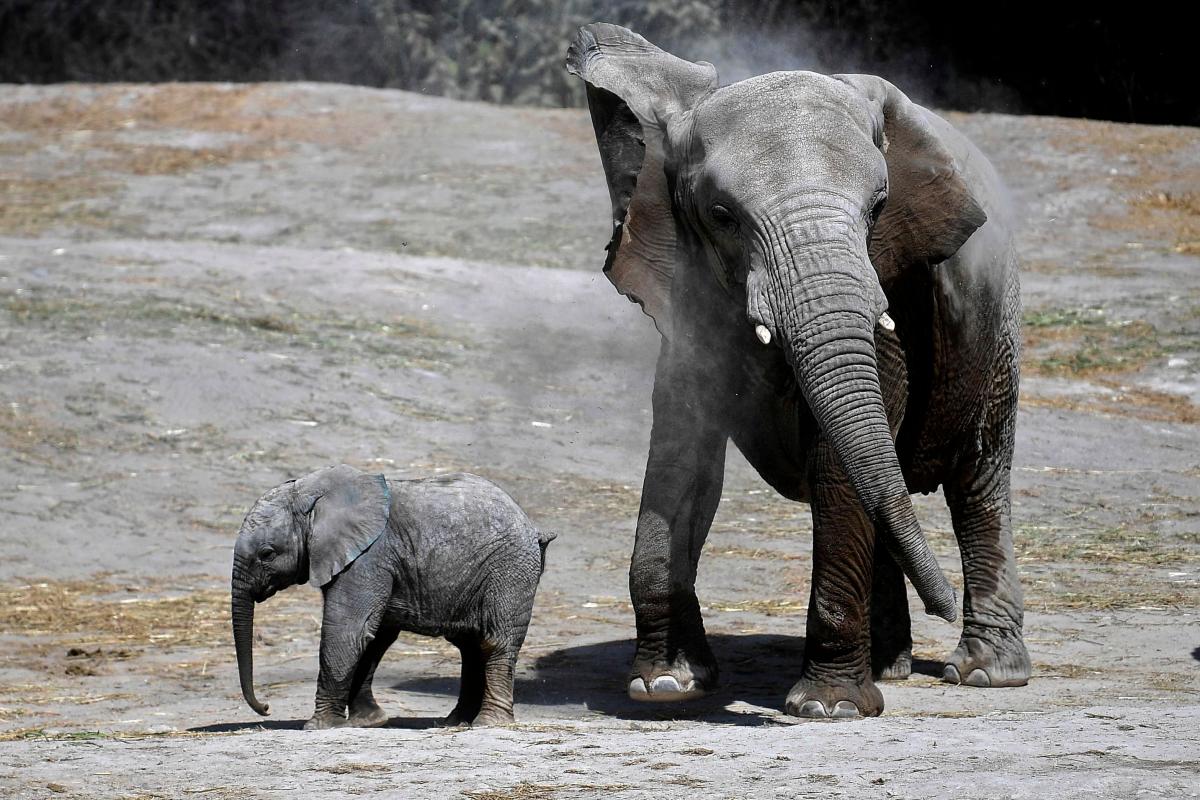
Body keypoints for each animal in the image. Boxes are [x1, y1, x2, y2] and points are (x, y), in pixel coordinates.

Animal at [231, 465, 554, 728]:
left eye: (267, 554)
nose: (266, 707)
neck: (316, 495)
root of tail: (533, 527)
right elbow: (373, 637)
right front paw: (368, 722)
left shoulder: (369, 558)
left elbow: (349, 630)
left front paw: (317, 726)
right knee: (470, 646)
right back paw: (455, 722)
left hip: (510, 572)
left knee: (495, 641)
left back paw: (489, 723)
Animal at [565, 23, 1030, 718]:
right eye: (722, 216)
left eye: (879, 207)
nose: (941, 605)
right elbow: (682, 456)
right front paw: (667, 685)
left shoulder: (892, 291)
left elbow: (839, 463)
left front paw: (828, 707)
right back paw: (891, 667)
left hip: (997, 329)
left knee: (977, 476)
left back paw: (982, 673)